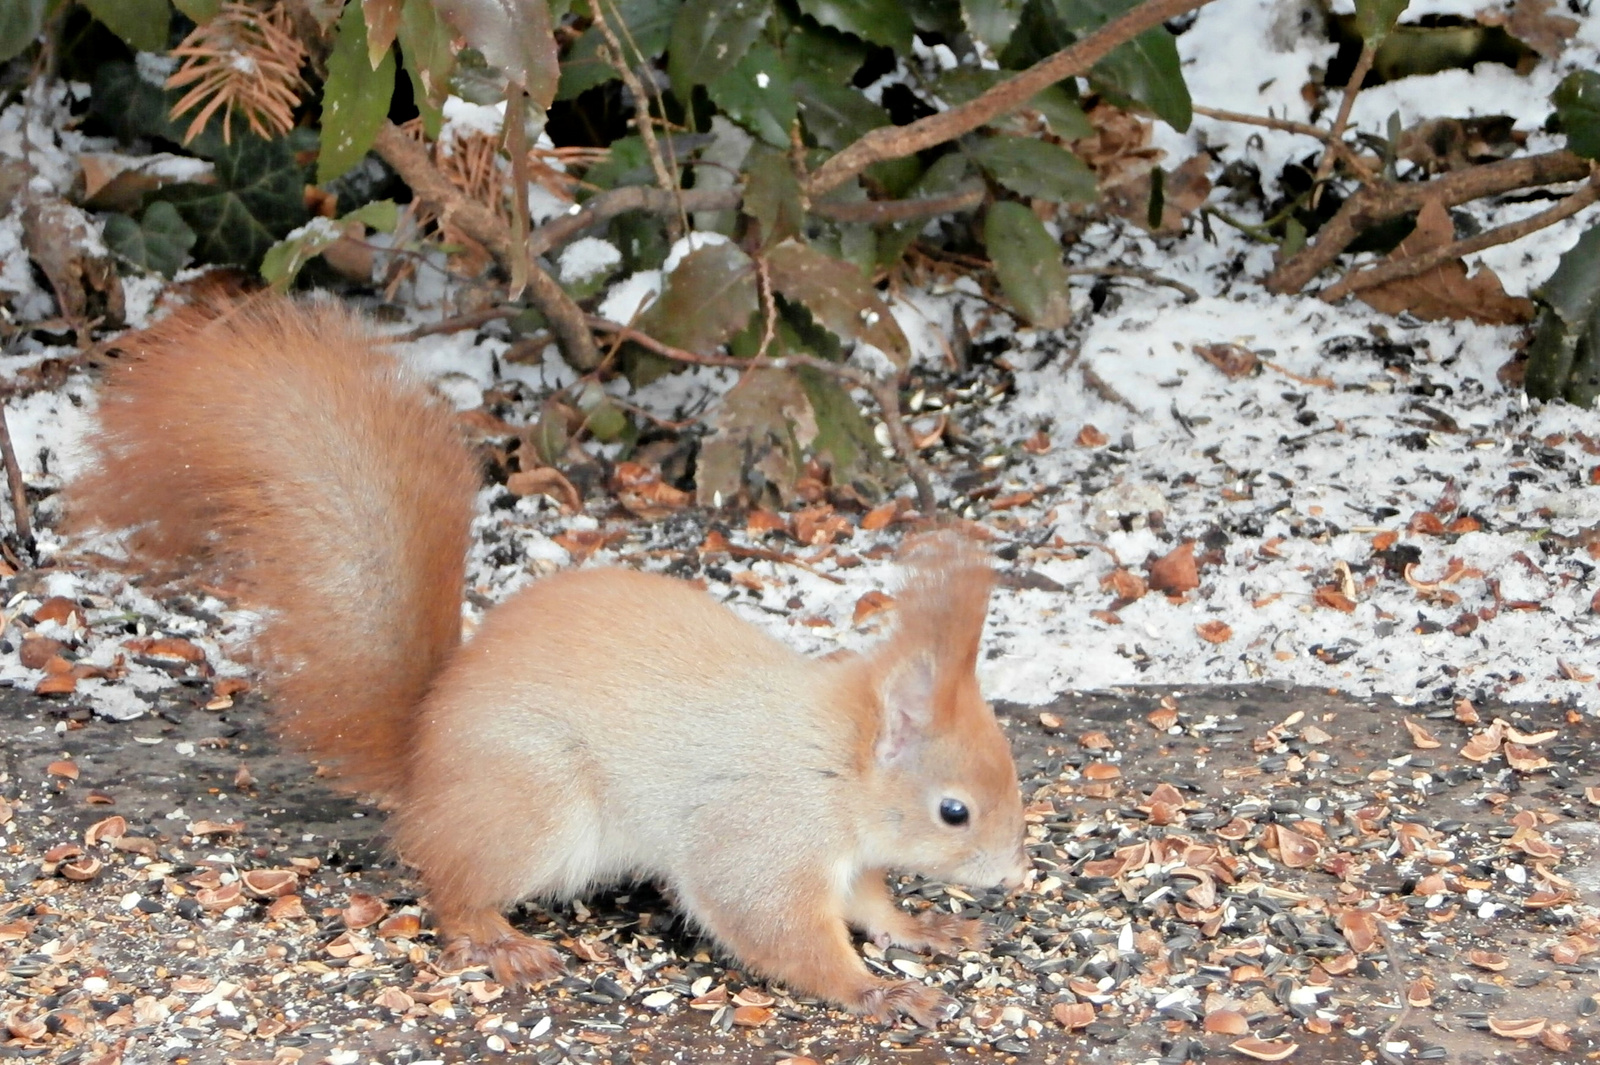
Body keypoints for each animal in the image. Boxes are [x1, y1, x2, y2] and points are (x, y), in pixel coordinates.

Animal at [65, 294, 1024, 1023]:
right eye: (954, 811)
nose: (1008, 872)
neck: (836, 762)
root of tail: (422, 756)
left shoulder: (847, 855)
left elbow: (868, 900)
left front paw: (920, 932)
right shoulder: (763, 832)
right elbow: (776, 924)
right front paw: (874, 992)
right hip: (535, 806)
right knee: (446, 879)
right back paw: (497, 939)